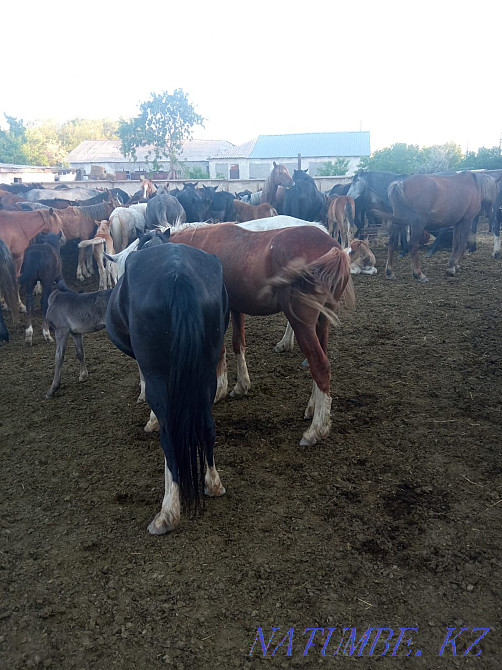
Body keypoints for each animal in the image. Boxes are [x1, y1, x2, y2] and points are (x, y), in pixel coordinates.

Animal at [105, 240, 229, 534]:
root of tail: (177, 275)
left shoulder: (149, 371)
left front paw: (150, 419)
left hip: (161, 378)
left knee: (170, 438)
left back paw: (168, 512)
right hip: (205, 375)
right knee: (207, 426)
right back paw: (213, 484)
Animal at [169, 222, 355, 445]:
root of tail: (334, 248)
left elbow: (220, 350)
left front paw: (219, 389)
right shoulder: (235, 307)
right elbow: (238, 344)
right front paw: (241, 386)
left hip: (302, 323)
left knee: (320, 366)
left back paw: (316, 429)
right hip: (321, 321)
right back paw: (312, 409)